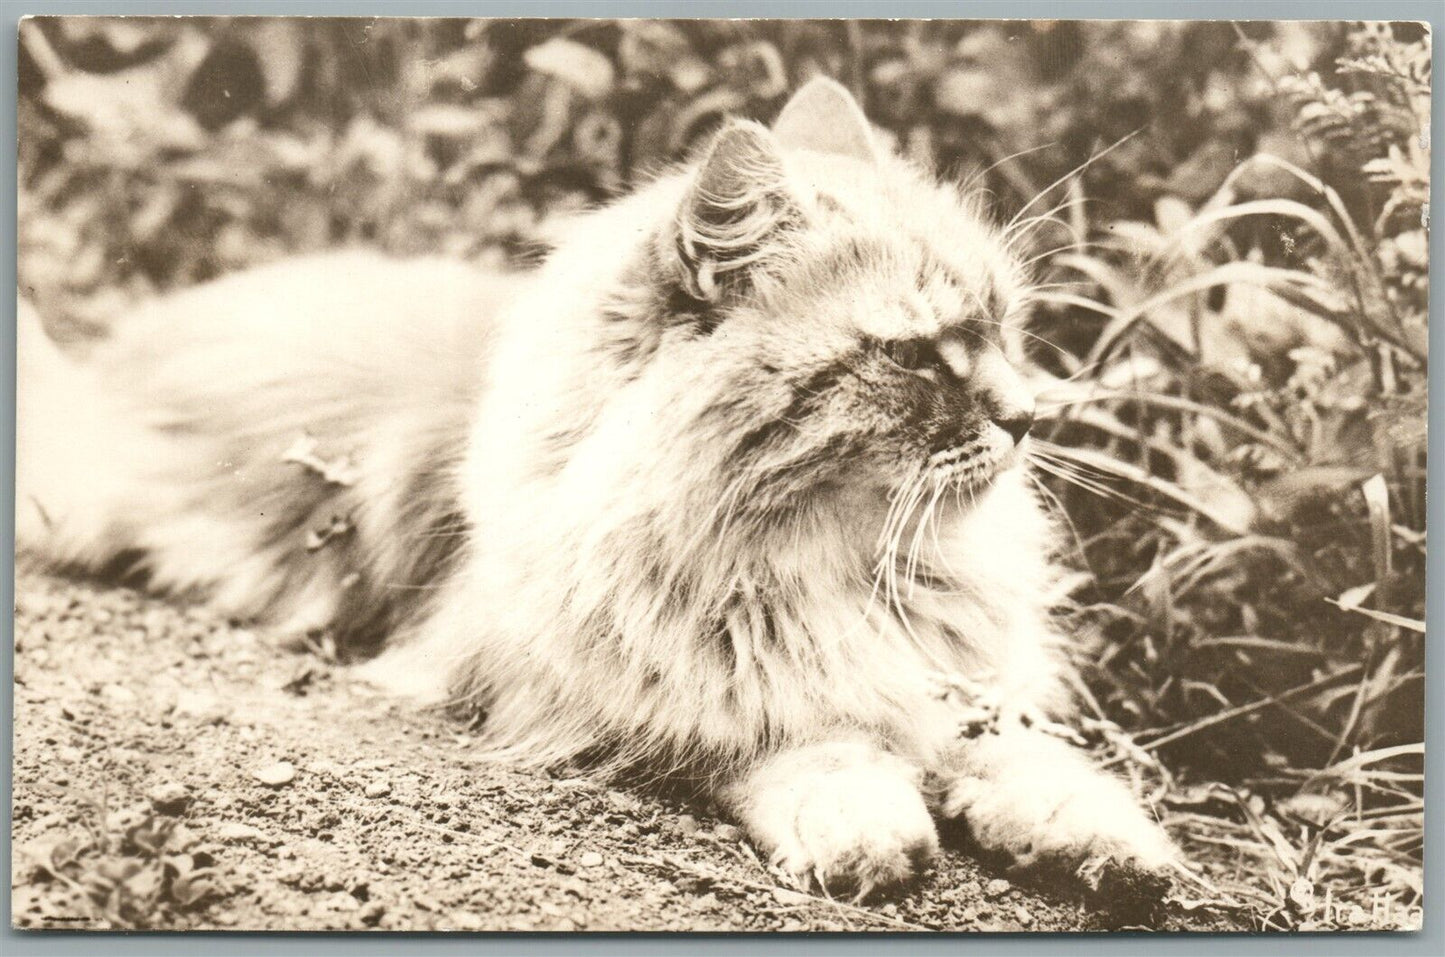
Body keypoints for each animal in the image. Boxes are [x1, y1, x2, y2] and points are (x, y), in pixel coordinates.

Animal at [16, 80, 1179, 907]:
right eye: (915, 357)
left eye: (1007, 331)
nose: (1029, 416)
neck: (828, 568)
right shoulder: (621, 699)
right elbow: (793, 737)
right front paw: (864, 822)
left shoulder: (955, 680)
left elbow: (1020, 752)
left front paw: (1104, 838)